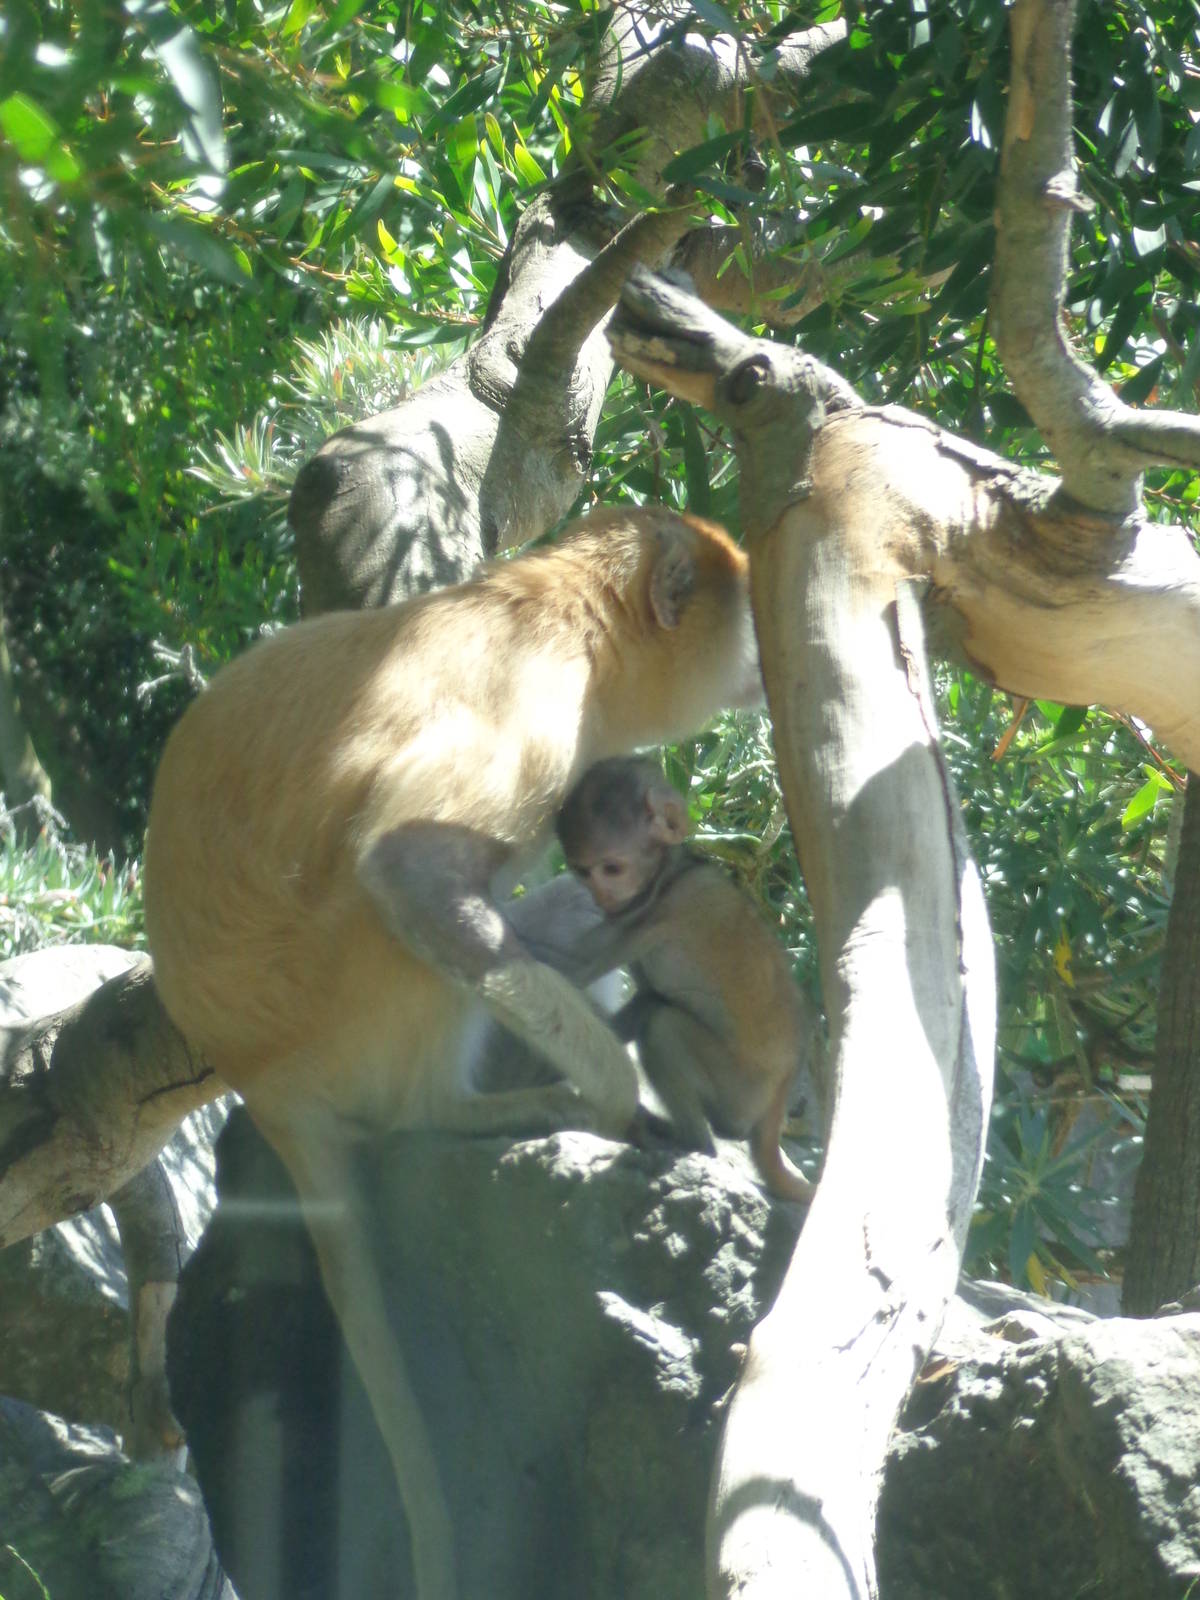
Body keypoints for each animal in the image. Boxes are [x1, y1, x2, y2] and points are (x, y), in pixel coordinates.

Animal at [142, 504, 759, 1600]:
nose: (763, 661)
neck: (562, 609)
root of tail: (262, 1078)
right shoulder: (538, 711)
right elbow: (412, 874)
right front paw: (616, 1096)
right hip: (348, 1003)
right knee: (410, 941)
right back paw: (478, 1109)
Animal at [538, 756, 819, 1206]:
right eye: (583, 870)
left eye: (612, 868)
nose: (602, 896)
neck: (671, 871)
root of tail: (778, 1097)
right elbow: (640, 997)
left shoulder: (671, 907)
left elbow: (567, 968)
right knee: (655, 1009)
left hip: (739, 1091)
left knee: (663, 1026)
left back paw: (691, 1141)